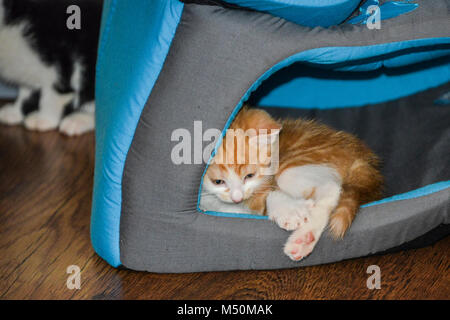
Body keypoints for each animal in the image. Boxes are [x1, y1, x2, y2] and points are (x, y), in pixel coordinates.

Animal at [0, 0, 102, 136]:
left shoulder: (62, 56)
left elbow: (54, 93)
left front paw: (44, 119)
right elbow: (26, 91)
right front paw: (15, 111)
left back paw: (79, 119)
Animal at [202, 106, 382, 262]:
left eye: (249, 176)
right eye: (218, 182)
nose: (237, 199)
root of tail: (360, 156)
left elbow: (265, 199)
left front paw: (289, 211)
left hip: (292, 169)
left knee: (332, 188)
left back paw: (304, 237)